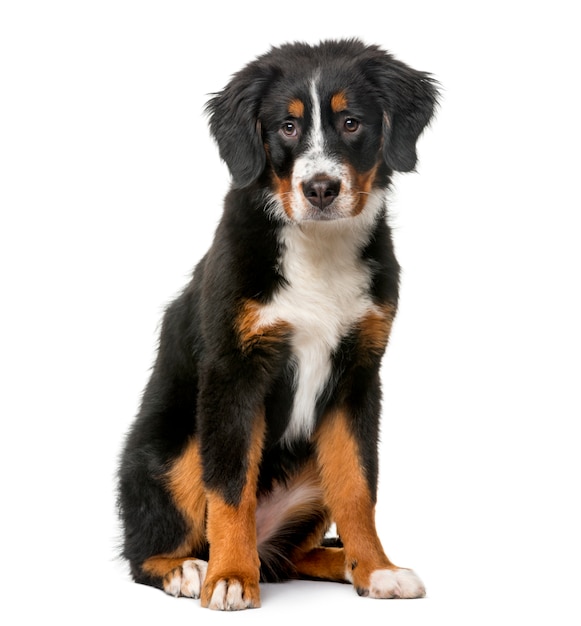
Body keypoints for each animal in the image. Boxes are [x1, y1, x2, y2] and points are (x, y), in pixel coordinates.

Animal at [118, 37, 436, 608]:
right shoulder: (233, 372)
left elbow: (359, 486)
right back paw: (189, 569)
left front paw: (377, 569)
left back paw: (340, 562)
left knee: (290, 558)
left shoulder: (359, 375)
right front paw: (228, 578)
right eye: (287, 127)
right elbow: (230, 488)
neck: (318, 250)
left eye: (351, 122)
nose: (321, 188)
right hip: (177, 445)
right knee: (146, 551)